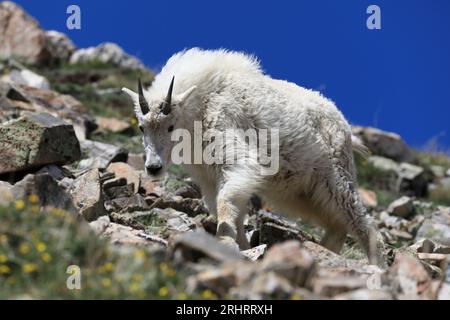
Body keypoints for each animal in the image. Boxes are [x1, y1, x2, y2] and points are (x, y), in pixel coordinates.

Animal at [123, 48, 384, 266]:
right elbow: (223, 207)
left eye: (170, 126)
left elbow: (226, 199)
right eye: (141, 127)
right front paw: (242, 245)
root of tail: (346, 127)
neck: (200, 106)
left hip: (336, 176)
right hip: (302, 191)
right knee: (336, 225)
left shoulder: (234, 152)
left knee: (361, 223)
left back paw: (376, 266)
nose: (153, 167)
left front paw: (226, 242)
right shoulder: (208, 175)